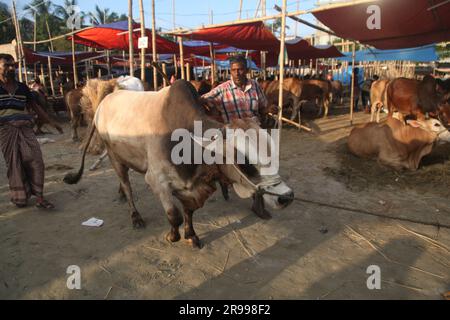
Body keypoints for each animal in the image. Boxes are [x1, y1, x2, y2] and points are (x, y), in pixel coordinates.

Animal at [64, 80, 296, 248]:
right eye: (245, 162)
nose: (286, 197)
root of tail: (104, 102)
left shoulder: (190, 186)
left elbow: (188, 213)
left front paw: (191, 235)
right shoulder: (157, 180)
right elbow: (174, 215)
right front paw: (172, 236)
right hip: (114, 155)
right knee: (127, 185)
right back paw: (135, 215)